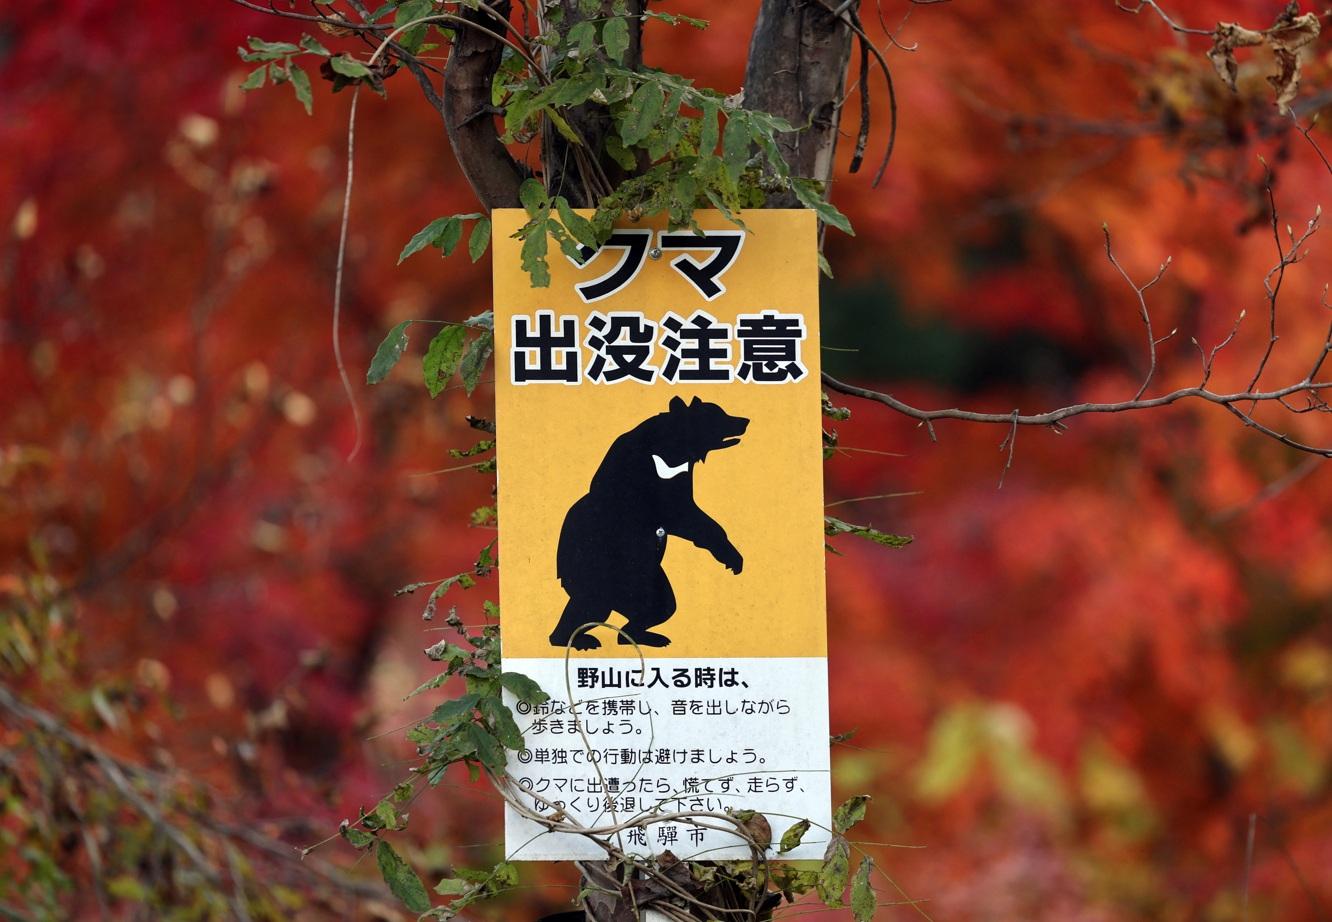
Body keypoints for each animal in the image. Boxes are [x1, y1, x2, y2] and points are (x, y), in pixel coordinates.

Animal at [548, 396, 748, 650]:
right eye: (716, 415)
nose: (745, 420)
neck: (670, 452)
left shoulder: (679, 476)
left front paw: (730, 557)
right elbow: (681, 514)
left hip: (645, 577)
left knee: (659, 605)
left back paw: (641, 636)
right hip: (597, 568)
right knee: (592, 603)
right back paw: (578, 640)